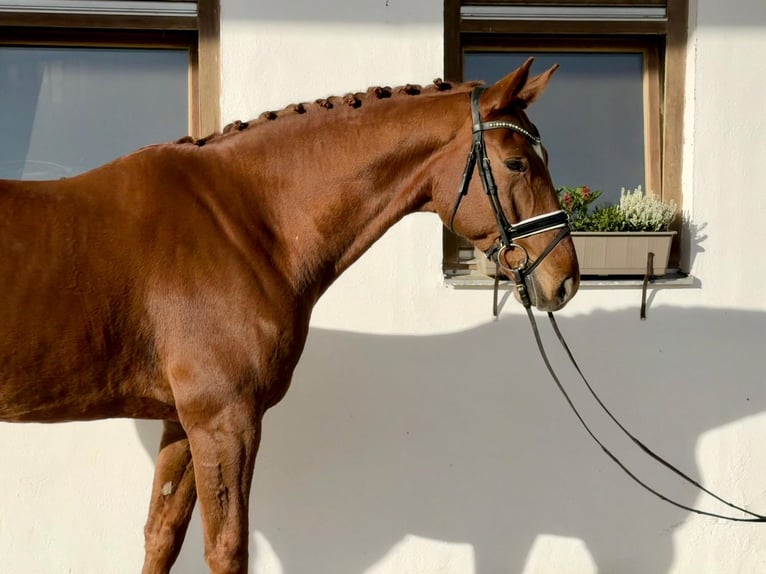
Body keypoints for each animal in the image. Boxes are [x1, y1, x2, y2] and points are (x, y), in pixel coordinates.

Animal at [0, 58, 578, 573]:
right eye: (517, 163)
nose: (566, 278)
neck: (247, 220)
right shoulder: (225, 419)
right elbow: (227, 549)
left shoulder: (180, 423)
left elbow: (160, 536)